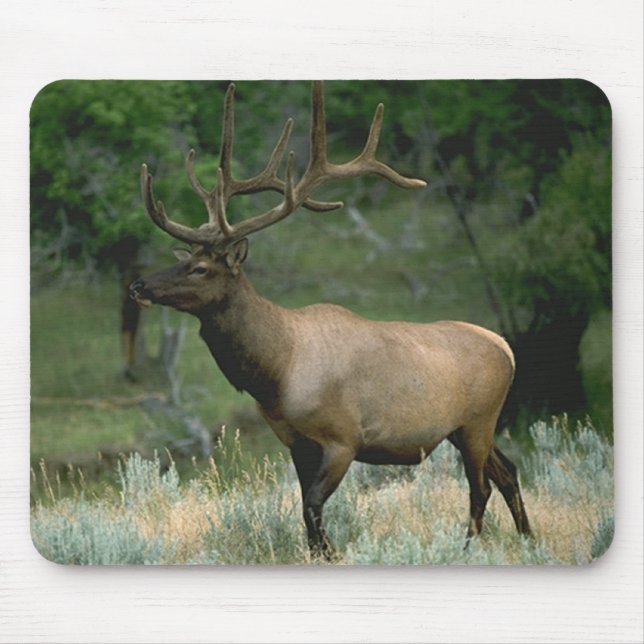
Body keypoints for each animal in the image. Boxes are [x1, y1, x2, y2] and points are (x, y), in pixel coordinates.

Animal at [129, 81, 532, 560]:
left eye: (201, 269)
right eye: (184, 259)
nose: (138, 285)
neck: (276, 371)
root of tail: (506, 348)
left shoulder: (343, 439)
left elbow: (313, 508)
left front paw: (335, 553)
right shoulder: (295, 442)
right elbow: (305, 511)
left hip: (478, 419)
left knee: (481, 485)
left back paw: (468, 548)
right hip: (464, 427)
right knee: (508, 471)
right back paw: (529, 539)